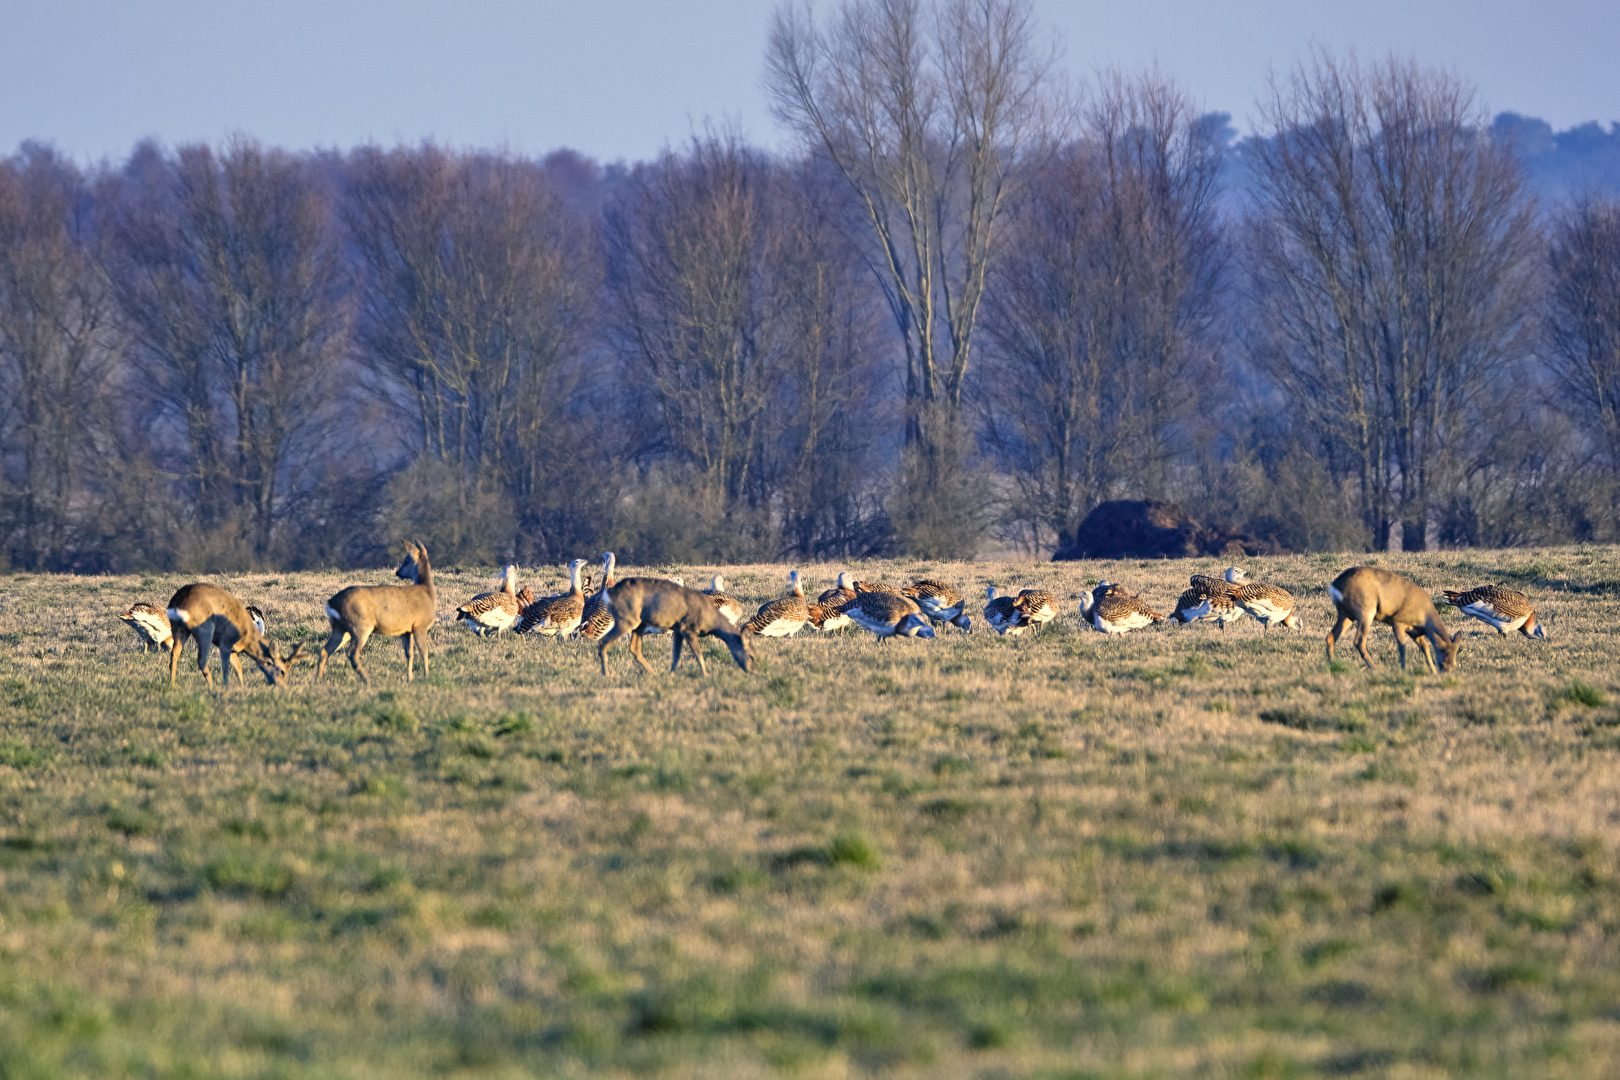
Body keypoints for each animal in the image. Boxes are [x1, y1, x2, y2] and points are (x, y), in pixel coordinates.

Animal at [165, 586, 304, 689]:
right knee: (198, 659)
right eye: (282, 671)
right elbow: (230, 667)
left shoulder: (232, 649)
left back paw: (174, 685)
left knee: (176, 655)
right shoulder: (227, 644)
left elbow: (237, 667)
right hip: (200, 631)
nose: (282, 686)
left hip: (180, 630)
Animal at [317, 540, 437, 683]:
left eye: (407, 559)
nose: (398, 572)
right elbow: (424, 651)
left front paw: (409, 678)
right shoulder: (420, 625)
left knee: (324, 651)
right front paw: (426, 676)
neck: (427, 592)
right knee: (352, 654)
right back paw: (368, 680)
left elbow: (409, 654)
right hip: (360, 625)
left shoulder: (406, 630)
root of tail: (331, 603)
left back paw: (318, 680)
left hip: (340, 629)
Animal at [1321, 566, 1464, 676]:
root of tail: (1335, 585)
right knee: (1359, 641)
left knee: (1331, 636)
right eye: (1443, 658)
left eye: (1454, 660)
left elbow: (1425, 647)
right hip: (1365, 609)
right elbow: (1402, 646)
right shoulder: (1398, 622)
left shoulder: (1415, 632)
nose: (1446, 672)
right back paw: (1376, 669)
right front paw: (1403, 670)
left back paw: (1333, 664)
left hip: (1346, 614)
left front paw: (1432, 671)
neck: (1424, 617)